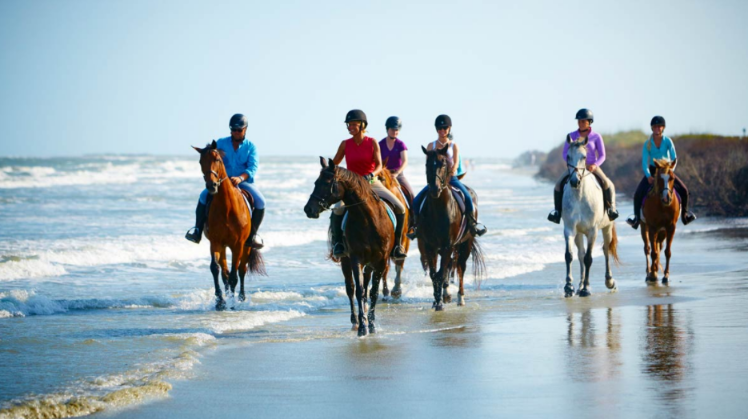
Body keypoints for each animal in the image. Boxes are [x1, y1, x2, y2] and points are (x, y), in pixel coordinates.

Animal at [303, 158, 407, 336]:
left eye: (326, 183)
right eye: (316, 182)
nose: (308, 209)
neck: (368, 219)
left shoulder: (380, 261)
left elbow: (373, 292)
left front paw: (371, 324)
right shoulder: (355, 259)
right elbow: (358, 290)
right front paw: (363, 326)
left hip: (371, 263)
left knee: (366, 284)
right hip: (346, 260)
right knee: (350, 288)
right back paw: (355, 321)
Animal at [416, 146, 485, 311]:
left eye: (443, 164)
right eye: (427, 164)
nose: (434, 189)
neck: (438, 209)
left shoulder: (448, 245)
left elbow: (442, 273)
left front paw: (440, 303)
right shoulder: (430, 246)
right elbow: (435, 274)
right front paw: (437, 300)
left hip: (465, 243)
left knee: (460, 267)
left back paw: (460, 297)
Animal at [561, 136, 620, 297]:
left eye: (584, 157)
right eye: (568, 156)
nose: (574, 181)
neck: (580, 196)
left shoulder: (593, 231)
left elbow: (589, 258)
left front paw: (586, 289)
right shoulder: (569, 229)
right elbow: (569, 255)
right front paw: (569, 287)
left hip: (606, 228)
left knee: (605, 249)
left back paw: (609, 281)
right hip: (579, 233)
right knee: (580, 254)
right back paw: (579, 285)